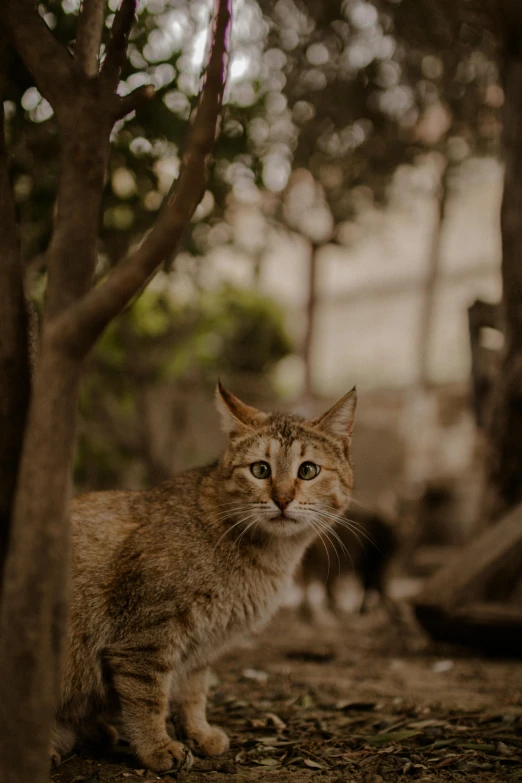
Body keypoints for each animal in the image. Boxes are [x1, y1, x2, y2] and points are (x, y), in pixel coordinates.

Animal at [51, 384, 354, 772]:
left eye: (308, 470)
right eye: (260, 469)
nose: (283, 498)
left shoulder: (199, 646)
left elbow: (193, 695)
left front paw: (198, 733)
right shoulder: (143, 639)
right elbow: (147, 698)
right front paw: (156, 747)